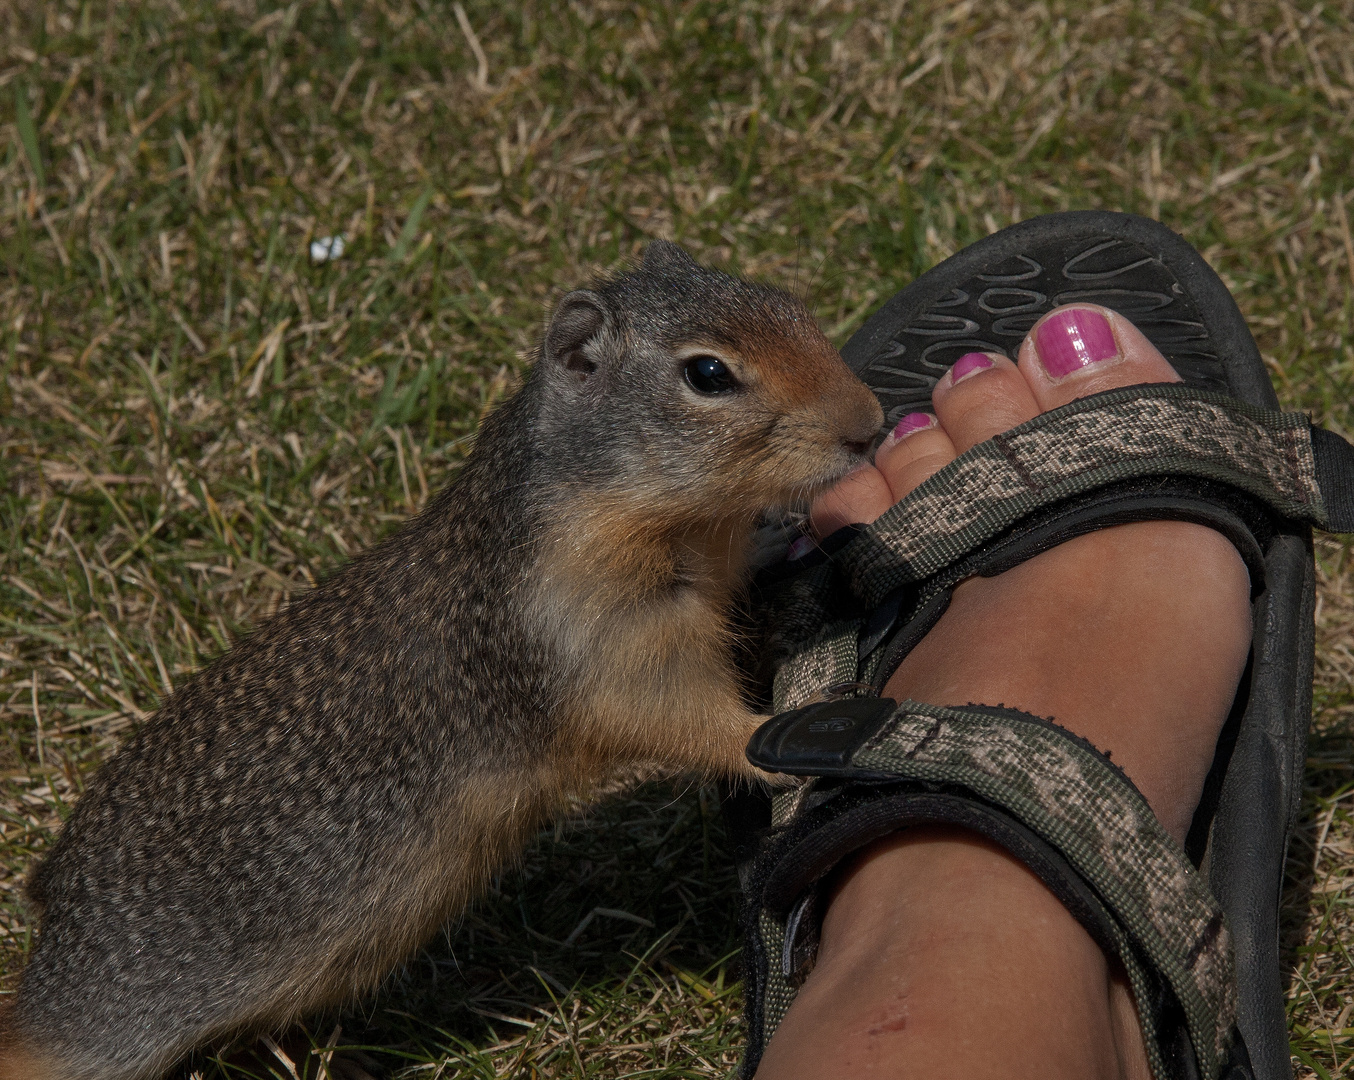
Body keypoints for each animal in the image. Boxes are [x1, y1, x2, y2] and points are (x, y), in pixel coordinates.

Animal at [0, 240, 882, 1077]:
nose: (870, 423)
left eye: (787, 302)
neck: (657, 516)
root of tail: (54, 908)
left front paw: (783, 535)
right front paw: (784, 733)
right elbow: (671, 714)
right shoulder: (599, 634)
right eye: (708, 373)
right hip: (112, 1018)